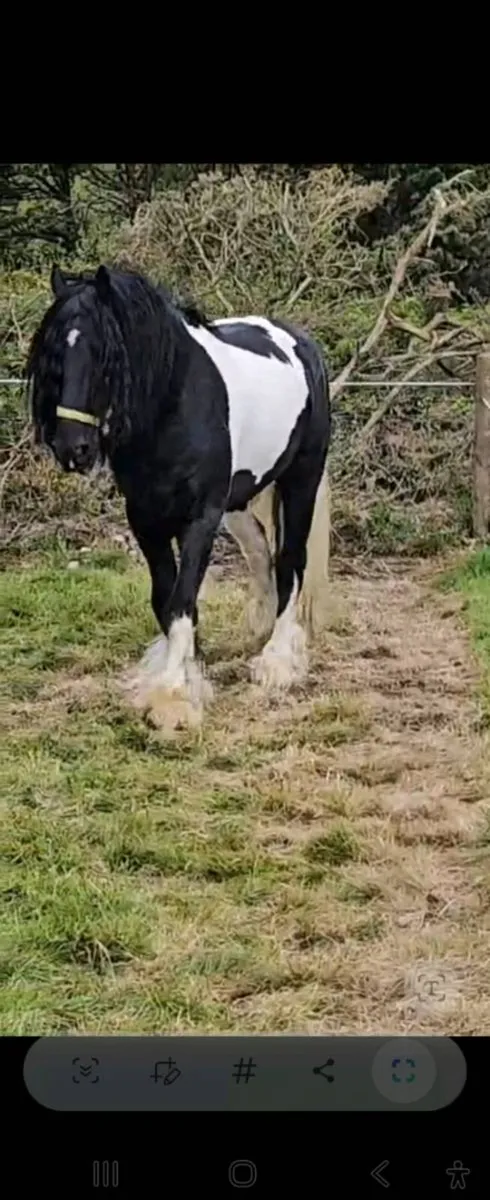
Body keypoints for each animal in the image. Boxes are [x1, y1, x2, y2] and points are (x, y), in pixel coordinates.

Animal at [26, 263, 332, 733]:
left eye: (105, 355)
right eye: (54, 352)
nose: (73, 448)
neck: (174, 406)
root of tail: (302, 343)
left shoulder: (200, 520)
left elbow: (183, 599)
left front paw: (172, 698)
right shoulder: (145, 520)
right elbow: (166, 600)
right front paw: (190, 678)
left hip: (301, 481)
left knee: (289, 562)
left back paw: (276, 661)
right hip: (239, 501)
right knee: (260, 553)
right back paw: (257, 633)